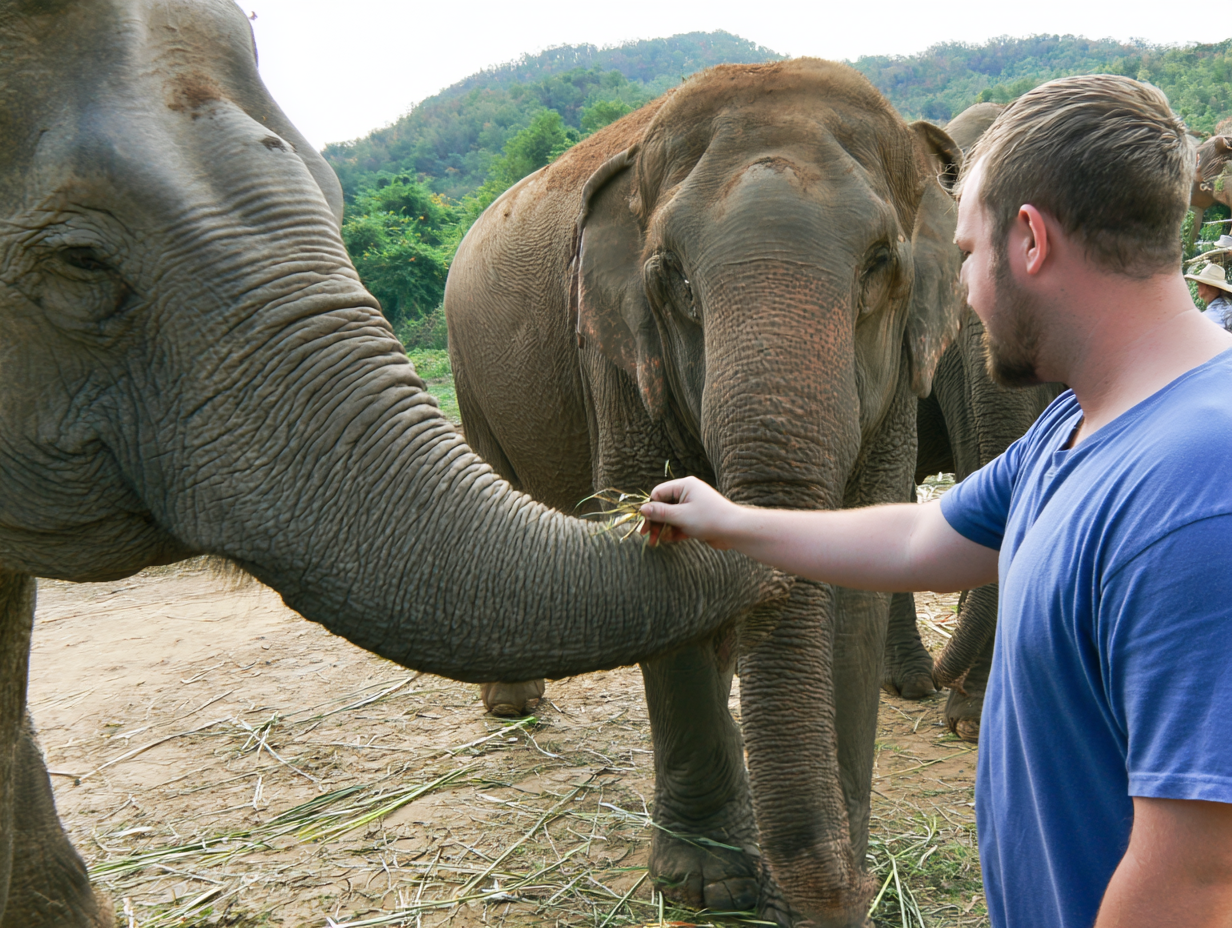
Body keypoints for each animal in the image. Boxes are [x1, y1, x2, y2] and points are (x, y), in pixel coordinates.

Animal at [445, 59, 966, 926]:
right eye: (673, 277)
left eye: (879, 263)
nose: (848, 892)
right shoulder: (617, 355)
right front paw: (712, 888)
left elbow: (854, 574)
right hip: (466, 369)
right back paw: (514, 705)